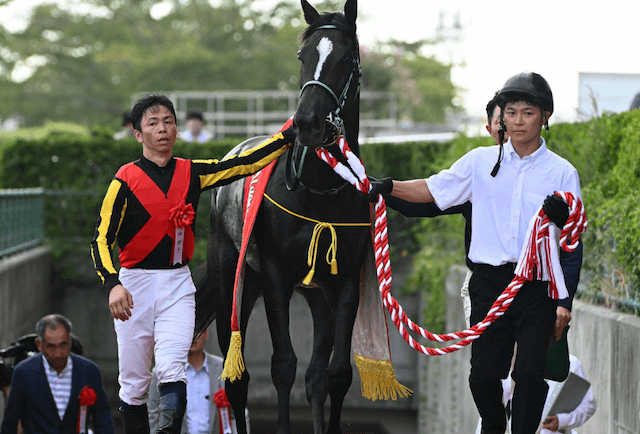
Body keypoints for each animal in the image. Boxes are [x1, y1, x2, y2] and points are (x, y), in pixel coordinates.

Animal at [200, 1, 370, 432]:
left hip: (315, 294)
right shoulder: (276, 273)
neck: (319, 192)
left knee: (315, 376)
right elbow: (282, 366)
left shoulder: (345, 280)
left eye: (347, 58)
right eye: (302, 56)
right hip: (235, 280)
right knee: (236, 374)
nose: (307, 122)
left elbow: (336, 374)